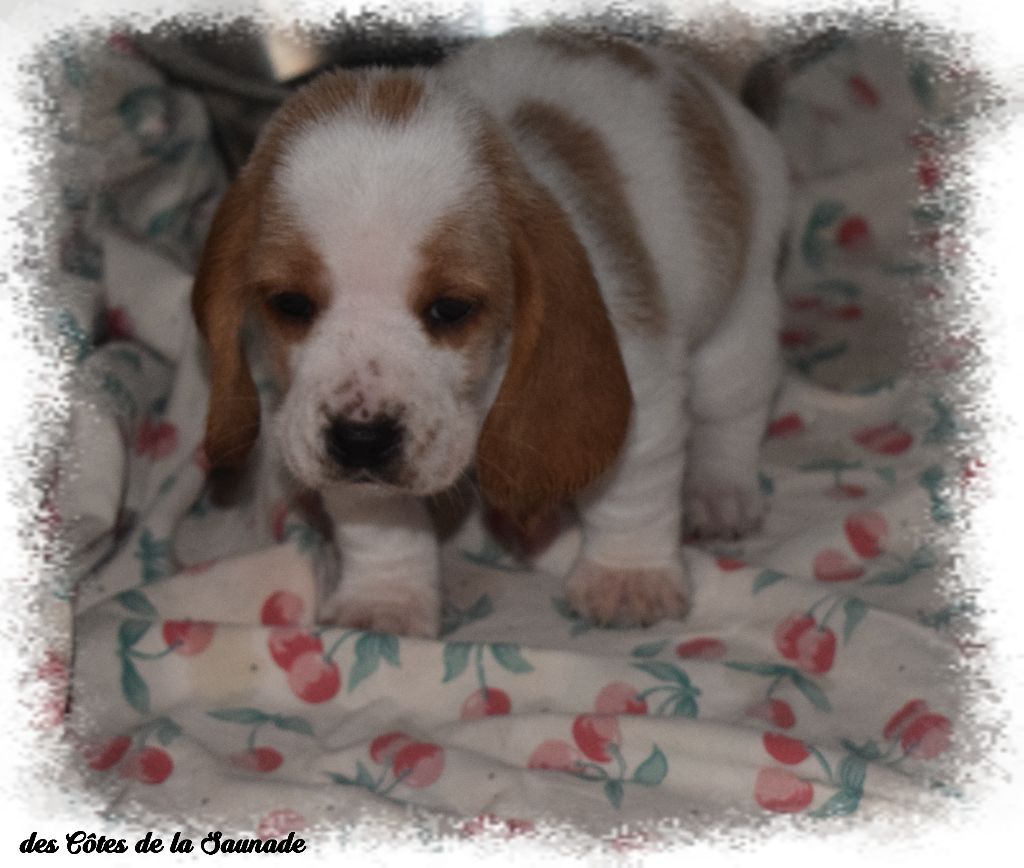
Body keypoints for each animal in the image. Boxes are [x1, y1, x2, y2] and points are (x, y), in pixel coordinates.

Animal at [191, 30, 789, 638]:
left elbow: (632, 494)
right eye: (289, 303)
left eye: (450, 309)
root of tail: (690, 74)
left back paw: (720, 494)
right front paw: (386, 599)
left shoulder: (640, 390)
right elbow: (379, 524)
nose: (361, 439)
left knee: (732, 414)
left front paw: (628, 578)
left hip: (738, 323)